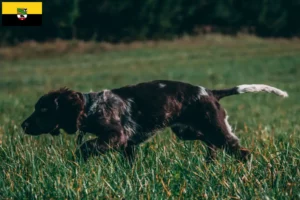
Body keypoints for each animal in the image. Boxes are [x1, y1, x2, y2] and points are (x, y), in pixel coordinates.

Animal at [21, 79, 288, 162]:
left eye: (43, 109)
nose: (23, 125)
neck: (90, 107)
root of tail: (210, 92)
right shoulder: (127, 145)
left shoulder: (116, 136)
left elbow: (87, 146)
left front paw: (78, 161)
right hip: (188, 131)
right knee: (213, 145)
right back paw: (209, 163)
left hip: (215, 129)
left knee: (242, 151)